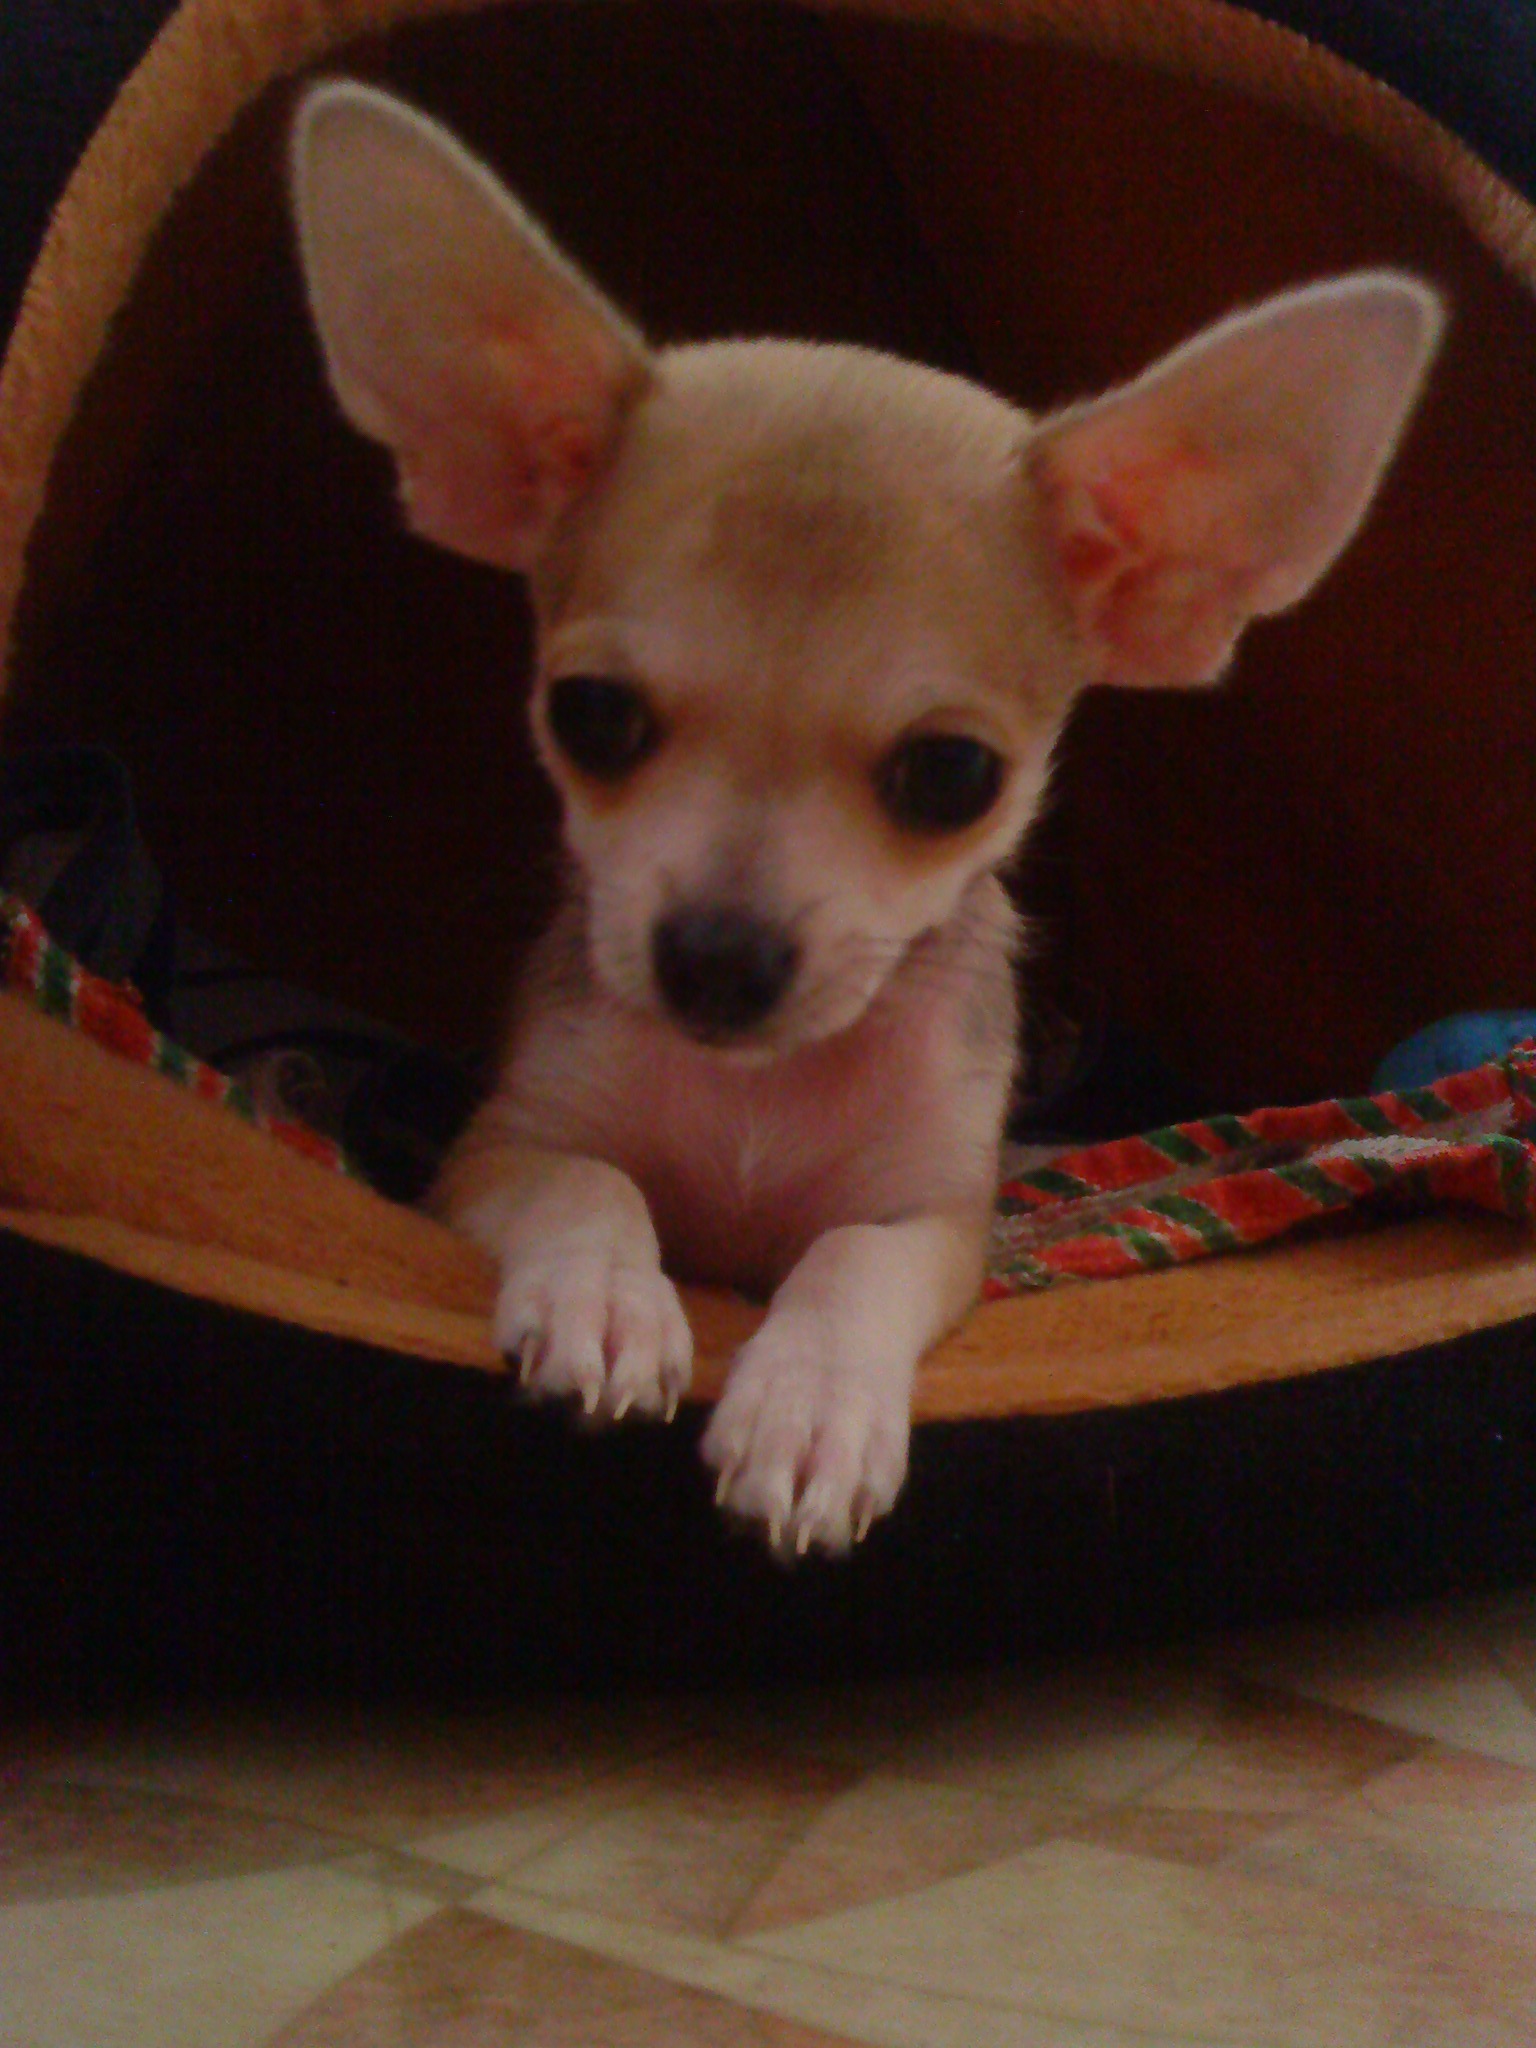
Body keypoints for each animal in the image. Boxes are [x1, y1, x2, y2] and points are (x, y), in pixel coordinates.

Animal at [290, 80, 1443, 1555]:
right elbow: (592, 1180)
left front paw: (812, 1403)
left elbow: (849, 1258)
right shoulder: (498, 1148)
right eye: (589, 714)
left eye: (952, 774)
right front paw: (605, 1299)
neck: (757, 1095)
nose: (718, 960)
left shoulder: (935, 1220)